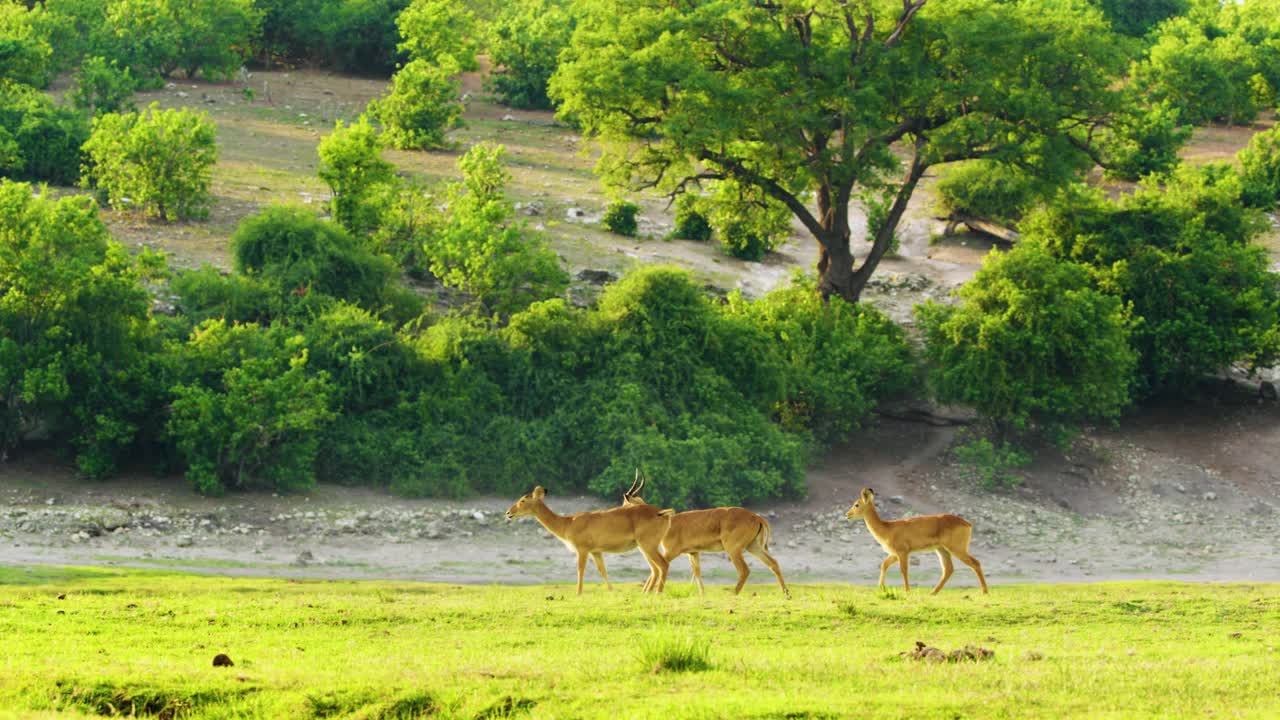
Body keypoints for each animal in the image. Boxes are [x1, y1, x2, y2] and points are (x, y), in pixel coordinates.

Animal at [504, 474, 675, 591]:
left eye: (523, 500)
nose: (508, 513)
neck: (568, 523)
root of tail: (661, 513)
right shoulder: (596, 552)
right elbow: (603, 572)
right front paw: (612, 592)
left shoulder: (582, 550)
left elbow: (580, 571)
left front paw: (578, 594)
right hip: (645, 547)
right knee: (657, 567)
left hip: (647, 546)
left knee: (663, 565)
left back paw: (657, 593)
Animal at [622, 479, 788, 597]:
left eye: (625, 503)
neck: (668, 523)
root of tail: (757, 517)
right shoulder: (694, 553)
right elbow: (697, 574)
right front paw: (702, 595)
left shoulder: (671, 552)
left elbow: (656, 569)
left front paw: (646, 592)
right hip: (753, 546)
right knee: (773, 563)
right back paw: (786, 593)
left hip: (734, 550)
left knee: (744, 570)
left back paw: (733, 594)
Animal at [849, 486, 988, 594]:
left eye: (857, 504)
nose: (847, 514)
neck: (887, 528)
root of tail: (968, 524)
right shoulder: (894, 554)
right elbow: (884, 565)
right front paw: (881, 587)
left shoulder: (902, 552)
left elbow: (903, 570)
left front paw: (907, 591)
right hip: (942, 550)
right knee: (948, 569)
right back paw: (932, 593)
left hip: (957, 549)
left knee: (975, 563)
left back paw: (985, 592)